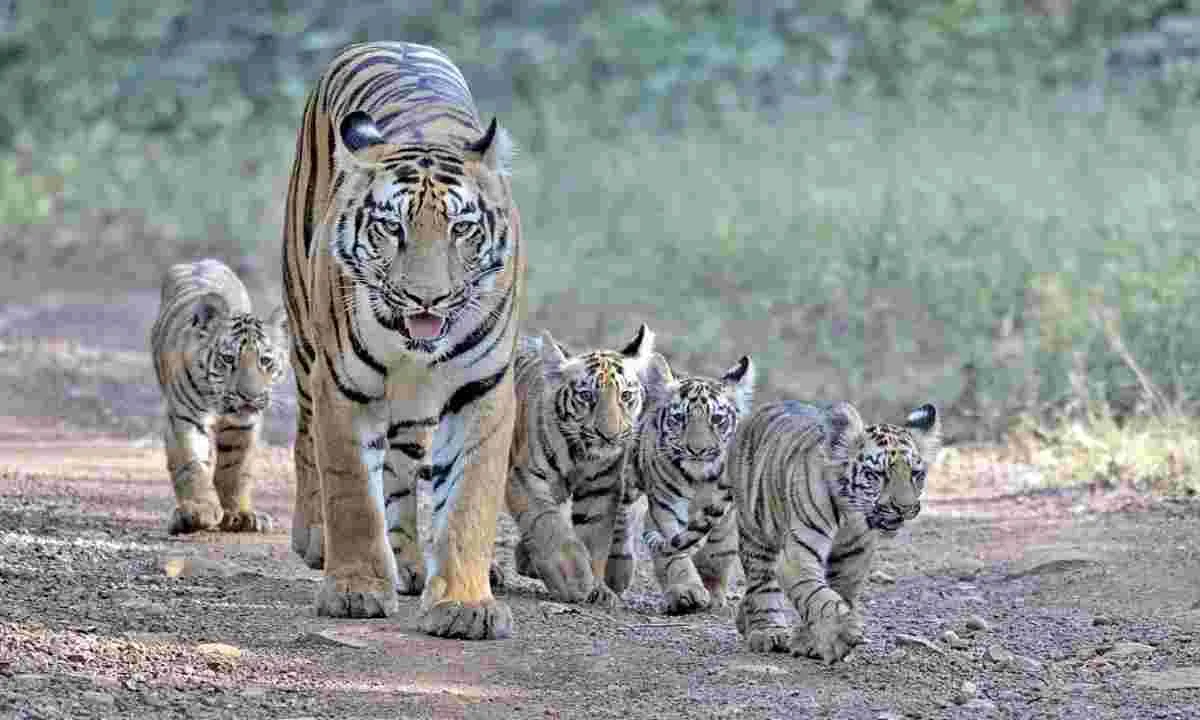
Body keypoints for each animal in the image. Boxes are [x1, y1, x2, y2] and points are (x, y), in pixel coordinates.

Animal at [150, 258, 288, 536]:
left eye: (265, 361)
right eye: (228, 359)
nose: (249, 395)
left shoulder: (244, 425)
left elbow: (235, 468)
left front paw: (240, 514)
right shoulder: (184, 417)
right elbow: (192, 464)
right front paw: (199, 510)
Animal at [280, 41, 523, 639]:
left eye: (461, 229)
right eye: (392, 228)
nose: (425, 299)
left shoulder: (483, 389)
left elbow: (468, 500)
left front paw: (465, 603)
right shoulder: (341, 387)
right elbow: (350, 490)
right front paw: (355, 589)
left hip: (413, 411)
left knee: (400, 469)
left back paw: (411, 560)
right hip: (303, 339)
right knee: (305, 437)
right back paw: (314, 538)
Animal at [500, 325, 656, 607]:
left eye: (625, 395)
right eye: (586, 396)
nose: (609, 435)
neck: (581, 454)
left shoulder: (601, 488)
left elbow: (595, 537)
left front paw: (597, 589)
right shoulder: (526, 477)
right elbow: (548, 523)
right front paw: (573, 577)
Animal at [622, 353, 755, 615]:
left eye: (716, 419)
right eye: (679, 418)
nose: (697, 450)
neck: (701, 480)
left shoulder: (728, 512)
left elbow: (718, 550)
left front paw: (713, 593)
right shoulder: (665, 507)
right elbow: (675, 552)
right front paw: (687, 592)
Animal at [729, 400, 941, 663]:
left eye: (916, 474)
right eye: (878, 474)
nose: (905, 508)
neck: (850, 516)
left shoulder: (853, 556)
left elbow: (838, 591)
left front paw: (811, 641)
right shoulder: (798, 556)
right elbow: (816, 594)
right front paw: (841, 631)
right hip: (755, 533)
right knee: (761, 584)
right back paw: (767, 631)